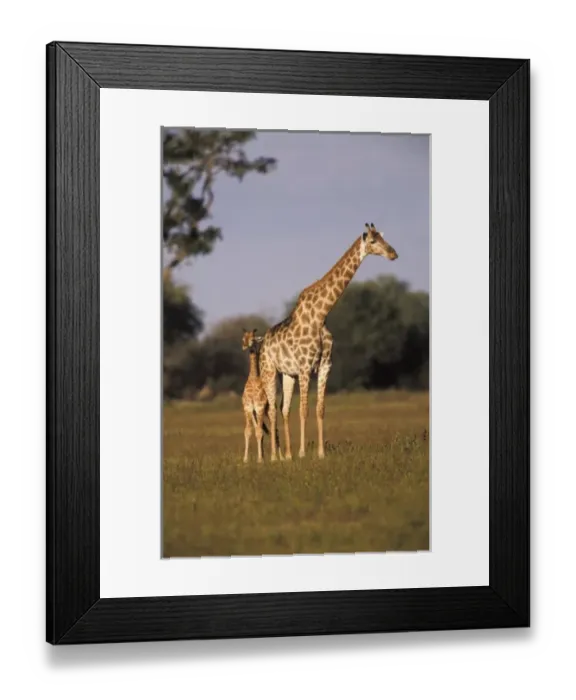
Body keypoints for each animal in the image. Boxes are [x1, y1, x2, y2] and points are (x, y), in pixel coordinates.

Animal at [240, 328, 282, 463]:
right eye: (243, 338)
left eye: (253, 338)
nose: (245, 345)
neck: (254, 379)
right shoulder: (248, 408)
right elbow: (248, 432)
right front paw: (245, 459)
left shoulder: (259, 408)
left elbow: (259, 432)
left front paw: (259, 460)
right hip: (256, 414)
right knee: (264, 431)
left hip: (268, 411)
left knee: (275, 431)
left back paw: (281, 457)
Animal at [258, 223, 398, 461]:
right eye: (372, 241)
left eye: (383, 238)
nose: (393, 254)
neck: (321, 314)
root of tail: (262, 343)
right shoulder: (305, 367)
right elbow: (303, 409)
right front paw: (303, 453)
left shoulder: (324, 366)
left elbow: (320, 409)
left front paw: (320, 453)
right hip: (269, 371)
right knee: (272, 410)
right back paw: (276, 457)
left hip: (287, 374)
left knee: (283, 409)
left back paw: (287, 456)